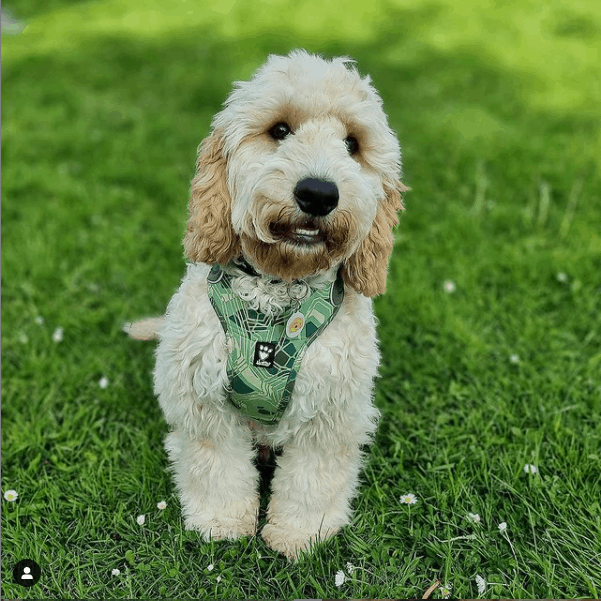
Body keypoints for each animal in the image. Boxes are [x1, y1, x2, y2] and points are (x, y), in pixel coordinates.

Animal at [126, 49, 408, 560]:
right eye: (280, 130)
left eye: (352, 144)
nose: (318, 193)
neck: (277, 289)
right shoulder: (204, 401)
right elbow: (217, 468)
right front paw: (221, 525)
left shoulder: (331, 411)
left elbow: (313, 478)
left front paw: (300, 533)